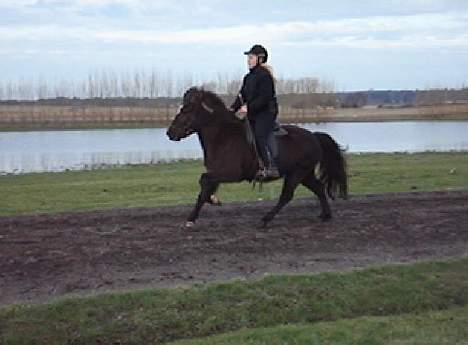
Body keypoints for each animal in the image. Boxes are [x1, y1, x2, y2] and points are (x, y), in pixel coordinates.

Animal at [165, 86, 348, 227]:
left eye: (186, 109)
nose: (170, 133)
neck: (223, 136)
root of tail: (314, 136)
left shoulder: (231, 174)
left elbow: (204, 181)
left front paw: (193, 217)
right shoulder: (216, 172)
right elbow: (205, 186)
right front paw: (211, 201)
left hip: (297, 174)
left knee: (287, 196)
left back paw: (265, 219)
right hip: (304, 174)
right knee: (319, 188)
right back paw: (325, 215)